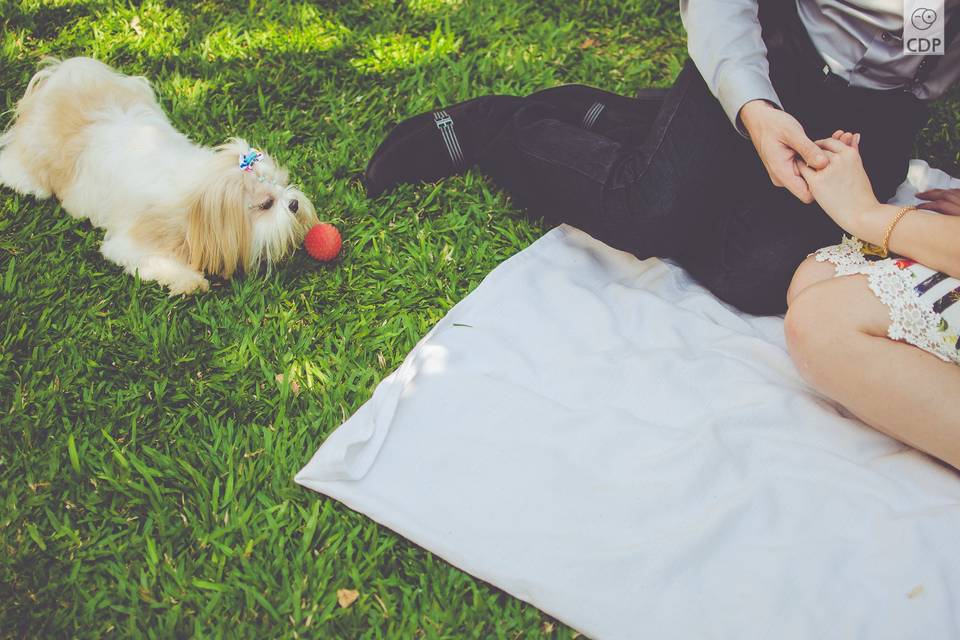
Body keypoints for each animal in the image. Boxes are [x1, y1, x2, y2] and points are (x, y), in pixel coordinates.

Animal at [0, 56, 316, 294]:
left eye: (281, 184)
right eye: (265, 204)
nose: (294, 204)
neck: (195, 197)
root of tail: (61, 75)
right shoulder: (135, 241)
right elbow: (152, 260)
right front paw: (189, 280)